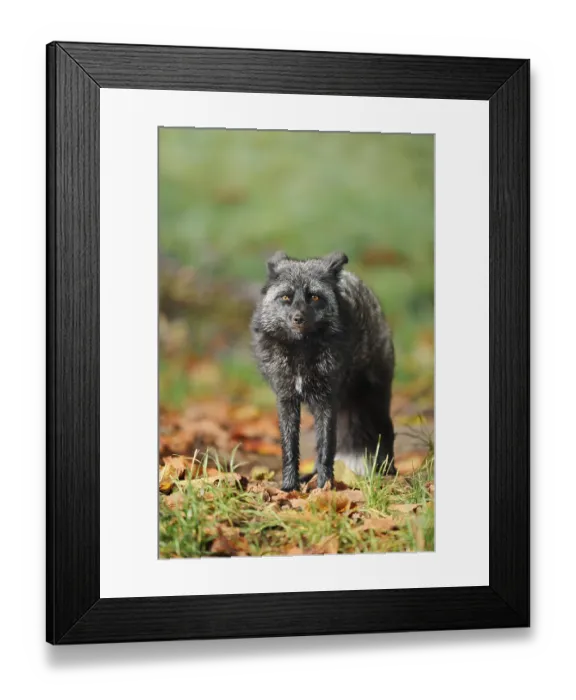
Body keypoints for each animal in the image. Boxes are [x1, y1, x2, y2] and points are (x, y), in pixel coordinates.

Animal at [250, 251, 396, 491]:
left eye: (315, 297)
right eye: (286, 297)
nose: (298, 318)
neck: (301, 353)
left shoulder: (326, 400)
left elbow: (326, 449)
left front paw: (324, 488)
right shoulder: (286, 399)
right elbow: (290, 448)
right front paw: (289, 487)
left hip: (375, 399)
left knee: (386, 432)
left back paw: (389, 474)